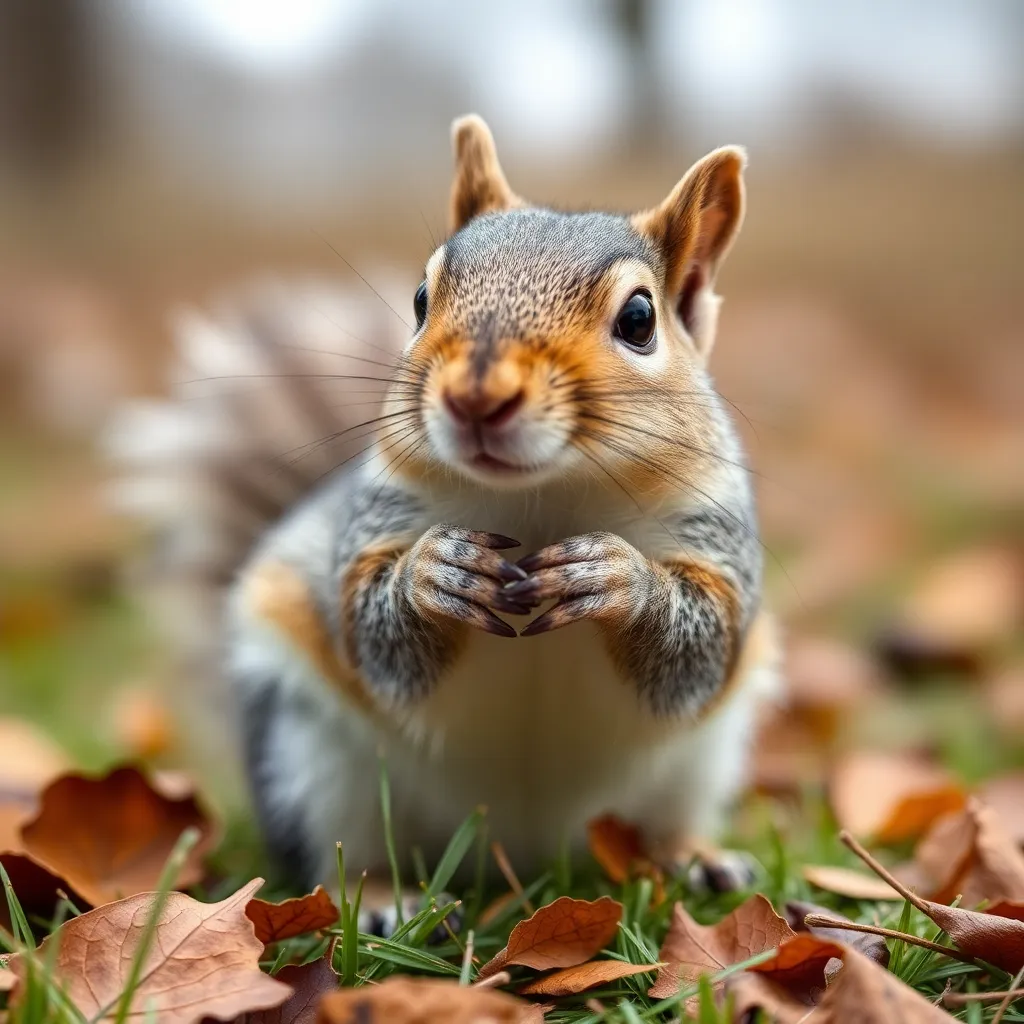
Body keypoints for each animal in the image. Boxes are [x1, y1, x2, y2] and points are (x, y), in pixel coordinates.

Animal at [111, 115, 779, 902]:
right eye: (420, 298)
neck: (541, 500)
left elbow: (697, 651)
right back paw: (376, 897)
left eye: (640, 318)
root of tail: (521, 852)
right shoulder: (373, 523)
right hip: (311, 755)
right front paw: (432, 574)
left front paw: (620, 578)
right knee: (341, 853)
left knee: (668, 817)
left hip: (701, 761)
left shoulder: (716, 546)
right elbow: (375, 633)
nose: (476, 396)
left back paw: (695, 855)